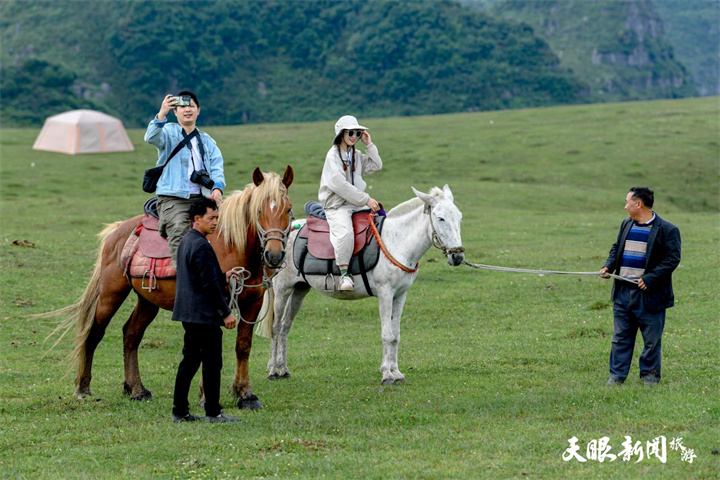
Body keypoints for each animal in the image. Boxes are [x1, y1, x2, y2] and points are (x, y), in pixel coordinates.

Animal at [45, 166, 292, 408]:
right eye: (259, 211)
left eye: (288, 209)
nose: (274, 255)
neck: (231, 246)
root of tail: (118, 230)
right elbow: (210, 347)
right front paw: (207, 397)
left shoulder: (252, 303)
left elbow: (243, 346)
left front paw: (245, 394)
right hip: (110, 294)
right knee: (94, 333)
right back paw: (83, 388)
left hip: (147, 301)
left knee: (131, 334)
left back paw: (136, 389)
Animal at [262, 186, 464, 384]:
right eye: (441, 218)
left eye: (459, 217)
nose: (458, 256)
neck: (397, 241)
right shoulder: (385, 294)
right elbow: (387, 335)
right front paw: (387, 374)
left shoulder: (400, 295)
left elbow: (396, 336)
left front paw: (396, 372)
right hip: (282, 289)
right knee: (276, 327)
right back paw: (272, 370)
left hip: (299, 290)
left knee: (285, 326)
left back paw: (283, 369)